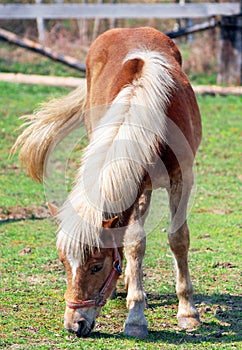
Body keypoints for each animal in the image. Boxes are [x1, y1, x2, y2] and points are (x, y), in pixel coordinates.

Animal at [13, 27, 202, 340]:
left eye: (96, 266)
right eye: (63, 263)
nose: (74, 325)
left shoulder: (182, 178)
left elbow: (178, 239)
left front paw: (187, 312)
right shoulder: (137, 184)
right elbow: (135, 242)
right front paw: (136, 315)